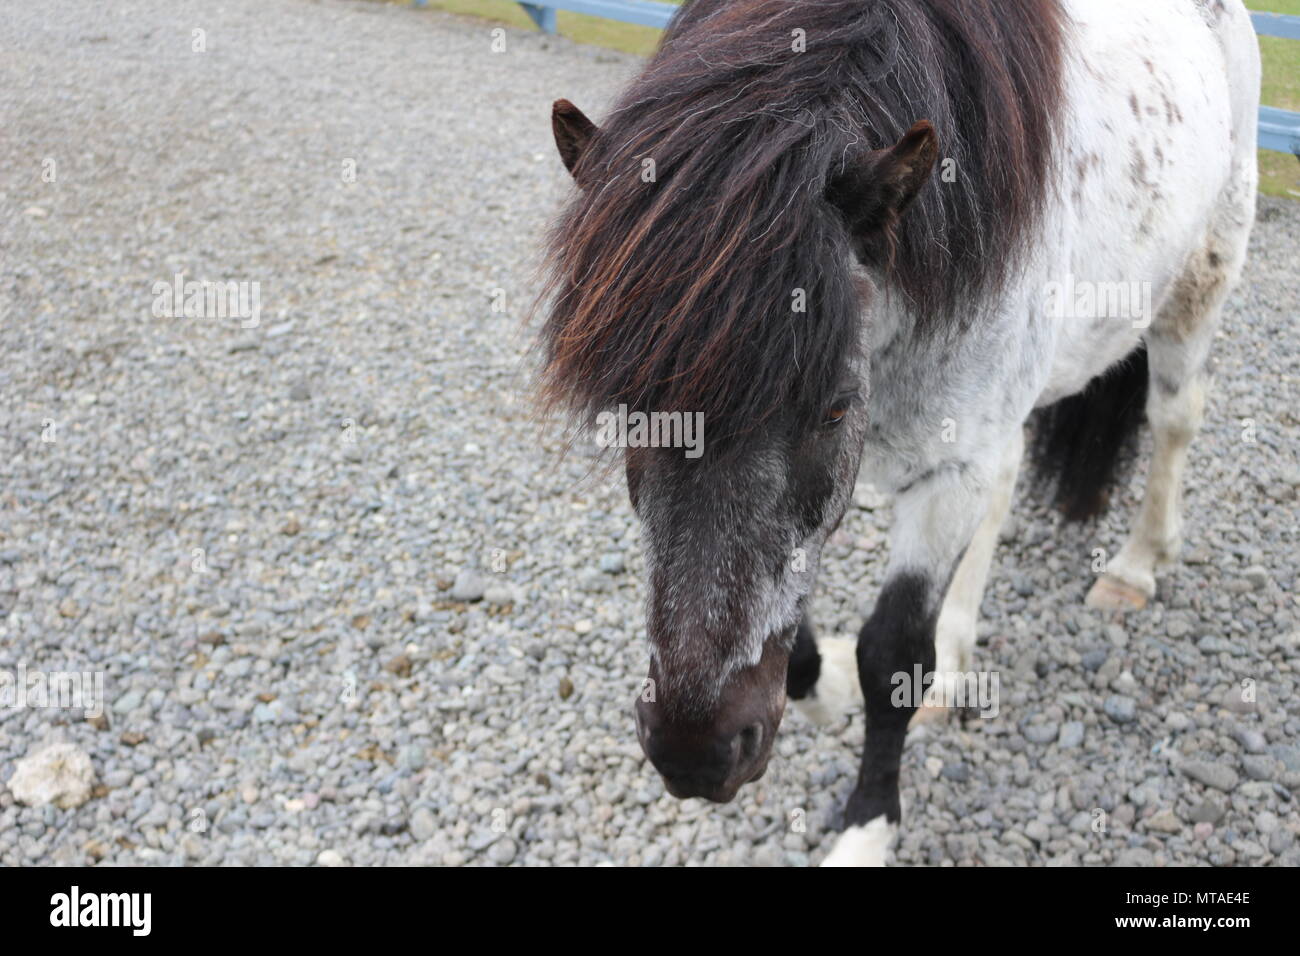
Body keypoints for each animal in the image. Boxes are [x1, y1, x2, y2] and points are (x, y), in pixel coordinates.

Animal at [535, 0, 1258, 868]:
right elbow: (797, 626)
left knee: (1174, 420)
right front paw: (827, 692)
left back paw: (1136, 566)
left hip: (1201, 281)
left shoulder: (946, 472)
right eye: (628, 406)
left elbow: (890, 655)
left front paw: (867, 825)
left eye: (835, 407)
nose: (697, 754)